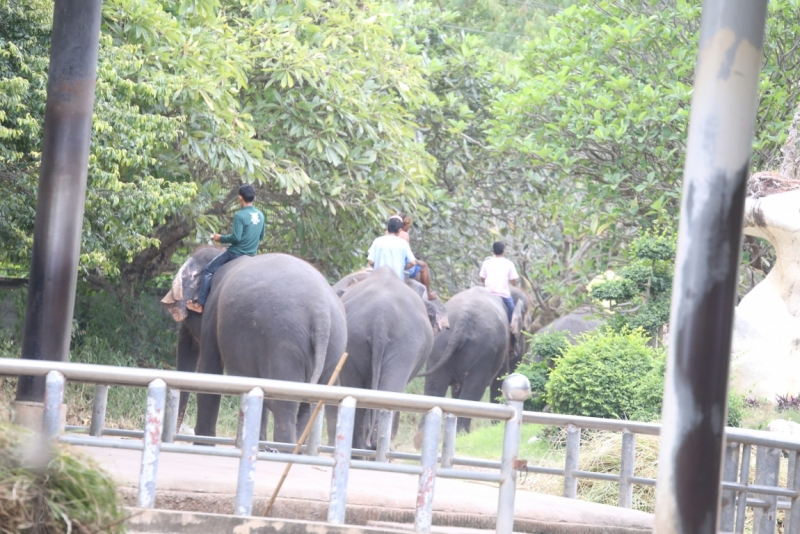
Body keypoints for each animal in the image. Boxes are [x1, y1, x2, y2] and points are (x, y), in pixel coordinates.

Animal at [161, 249, 346, 446]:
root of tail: (321, 315)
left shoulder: (213, 315)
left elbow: (210, 372)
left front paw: (203, 444)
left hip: (284, 345)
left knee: (285, 407)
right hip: (333, 348)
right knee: (306, 408)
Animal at [418, 288, 532, 436]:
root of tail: (462, 321)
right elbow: (499, 382)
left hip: (439, 344)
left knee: (434, 387)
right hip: (485, 351)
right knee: (473, 390)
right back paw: (462, 434)